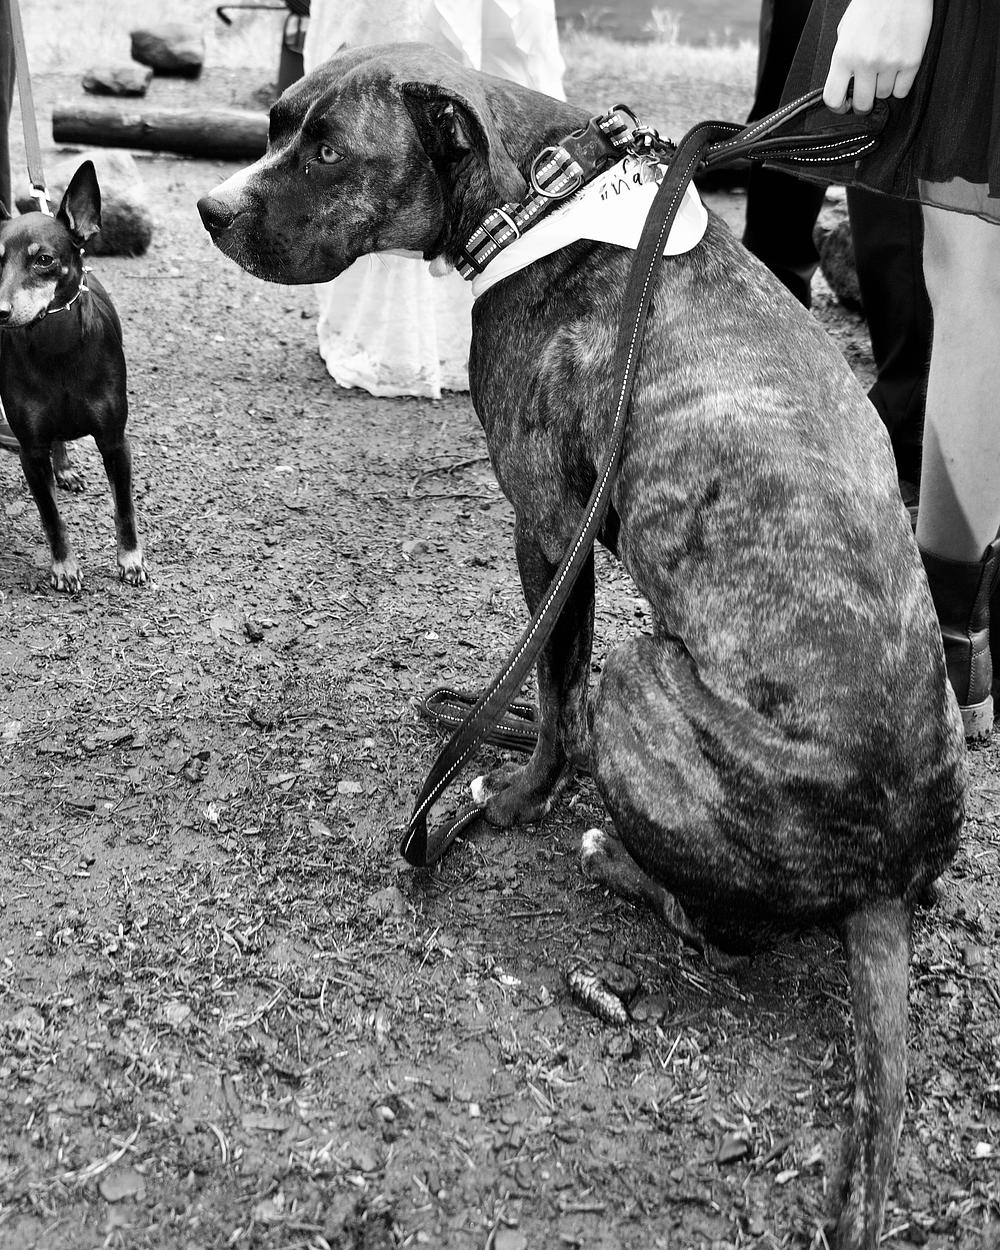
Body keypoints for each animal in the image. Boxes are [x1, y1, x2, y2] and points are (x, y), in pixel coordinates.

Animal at [0, 160, 146, 592]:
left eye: (44, 260)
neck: (56, 347)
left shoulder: (115, 442)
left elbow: (124, 508)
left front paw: (130, 560)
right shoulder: (30, 450)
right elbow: (51, 517)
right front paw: (64, 567)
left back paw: (64, 468)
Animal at [197, 45, 965, 1248]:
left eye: (328, 150)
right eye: (277, 124)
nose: (210, 208)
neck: (538, 190)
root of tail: (880, 880)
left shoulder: (549, 529)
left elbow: (557, 692)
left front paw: (515, 795)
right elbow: (545, 685)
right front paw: (496, 725)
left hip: (643, 679)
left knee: (717, 924)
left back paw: (613, 854)